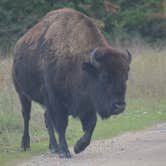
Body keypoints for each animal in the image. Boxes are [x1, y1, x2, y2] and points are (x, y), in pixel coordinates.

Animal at [12, 8, 131, 158]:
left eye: (126, 76)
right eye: (105, 76)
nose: (119, 106)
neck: (81, 65)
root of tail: (17, 46)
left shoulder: (87, 103)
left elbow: (91, 125)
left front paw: (78, 147)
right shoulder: (56, 101)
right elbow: (62, 125)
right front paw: (65, 152)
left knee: (47, 119)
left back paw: (53, 147)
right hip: (22, 94)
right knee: (26, 116)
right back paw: (25, 145)